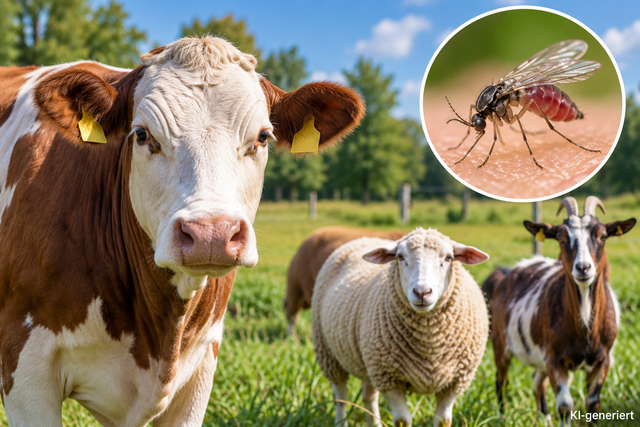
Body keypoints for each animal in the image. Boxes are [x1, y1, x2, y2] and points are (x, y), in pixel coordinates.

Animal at [312, 227, 489, 427]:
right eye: (400, 256)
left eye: (449, 257)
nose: (422, 292)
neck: (431, 344)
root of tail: (363, 238)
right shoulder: (390, 380)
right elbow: (402, 420)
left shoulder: (456, 382)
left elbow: (443, 420)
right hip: (329, 354)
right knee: (340, 396)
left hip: (369, 361)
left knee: (368, 397)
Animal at [482, 196, 636, 426]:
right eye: (561, 238)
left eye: (603, 236)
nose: (583, 268)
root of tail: (506, 274)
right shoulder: (555, 359)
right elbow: (565, 405)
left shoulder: (603, 359)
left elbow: (593, 404)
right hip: (501, 343)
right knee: (502, 379)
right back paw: (501, 416)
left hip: (540, 357)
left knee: (538, 382)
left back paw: (544, 418)